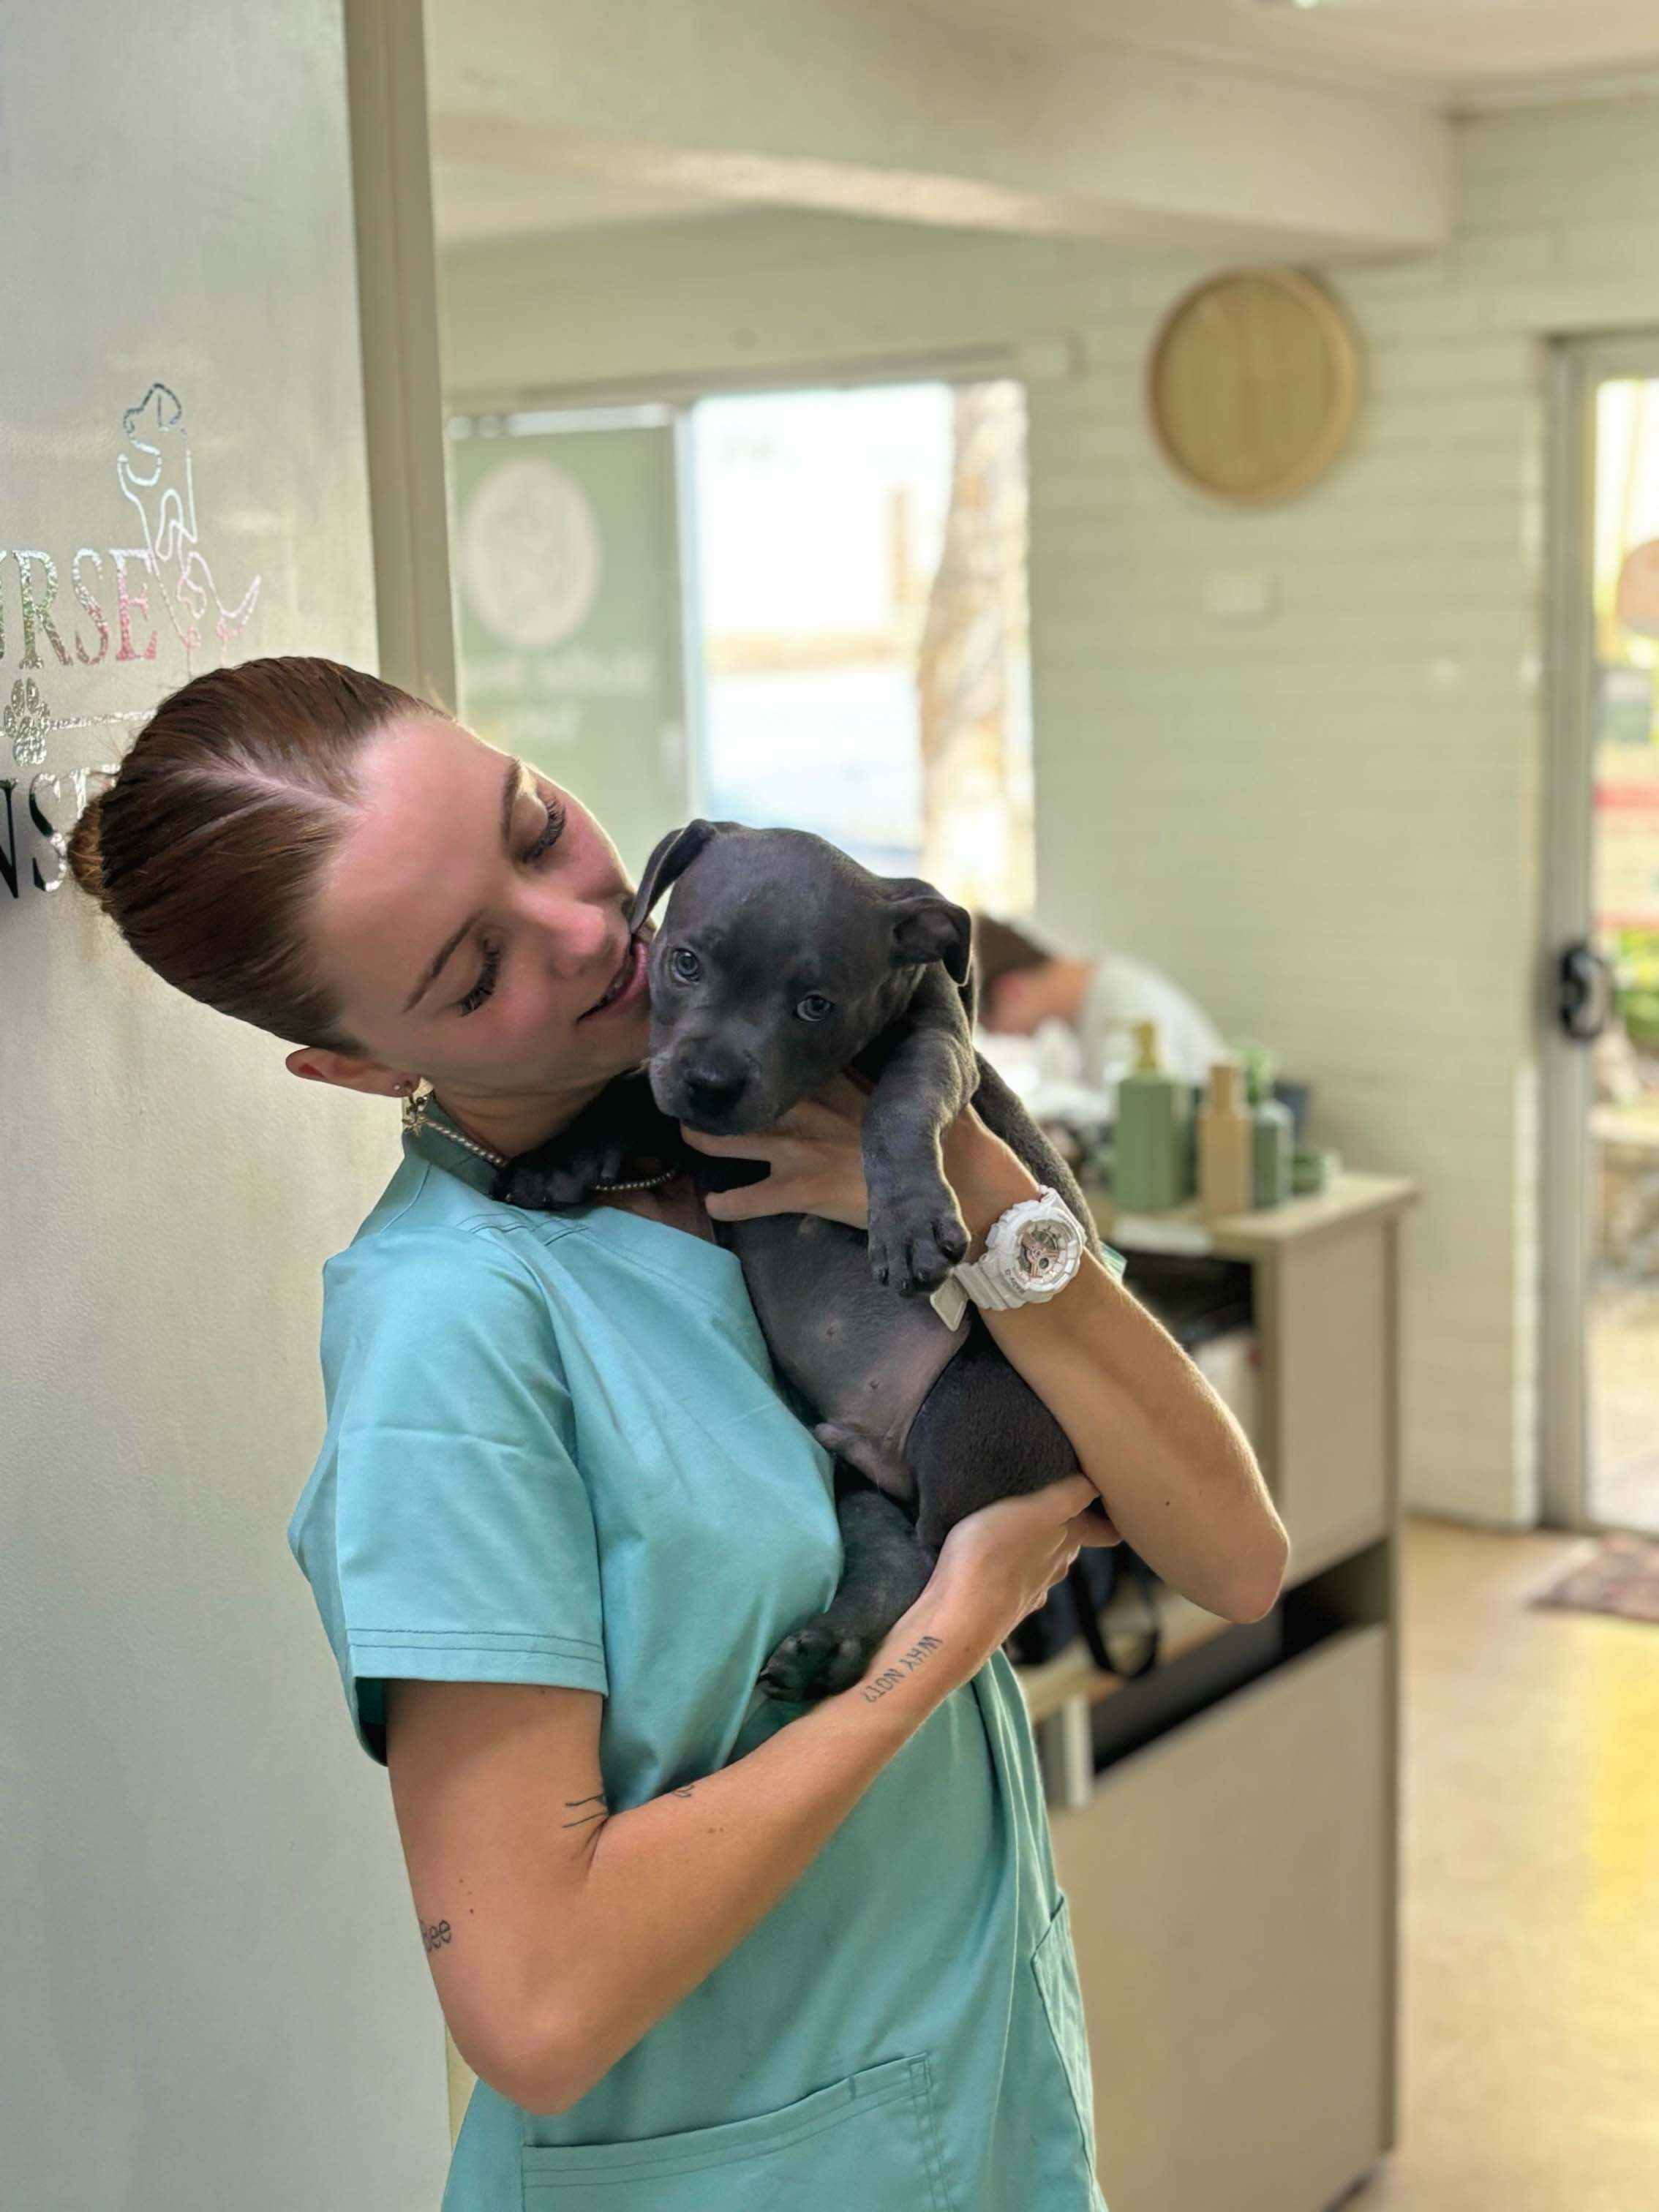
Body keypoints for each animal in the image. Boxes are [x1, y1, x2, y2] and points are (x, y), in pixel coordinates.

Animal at [500, 822, 1110, 1698]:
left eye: (816, 1005)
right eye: (685, 961)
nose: (712, 1082)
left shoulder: (939, 1044)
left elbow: (899, 1105)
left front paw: (909, 1222)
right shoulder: (686, 1123)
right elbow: (629, 1094)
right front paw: (554, 1160)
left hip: (969, 1410)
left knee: (941, 1563)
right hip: (858, 1483)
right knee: (892, 1558)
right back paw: (827, 1649)